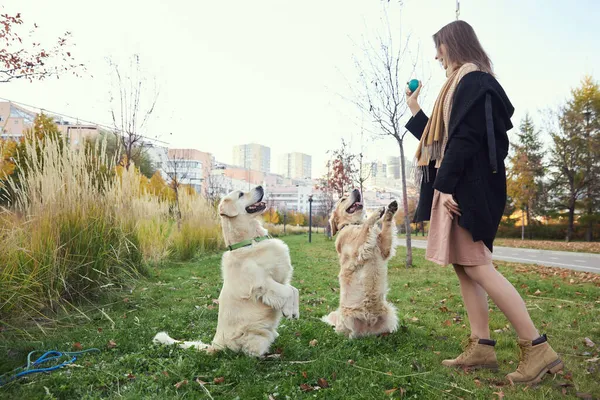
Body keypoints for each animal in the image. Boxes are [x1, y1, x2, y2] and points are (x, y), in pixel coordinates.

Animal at [322, 190, 400, 338]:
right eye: (343, 199)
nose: (356, 190)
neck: (354, 224)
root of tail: (368, 328)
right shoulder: (357, 248)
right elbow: (366, 226)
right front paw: (375, 212)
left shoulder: (384, 249)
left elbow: (385, 228)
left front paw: (389, 210)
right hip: (347, 318)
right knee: (347, 332)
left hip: (390, 312)